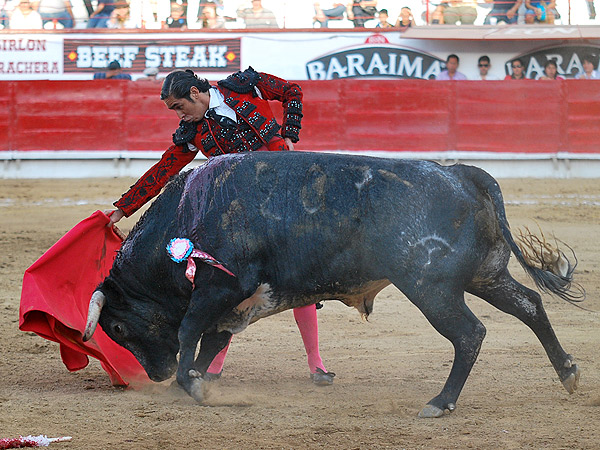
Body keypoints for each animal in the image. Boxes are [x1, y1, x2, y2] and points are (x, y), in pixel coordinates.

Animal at [82, 151, 580, 418]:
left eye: (119, 328)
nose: (156, 374)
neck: (190, 212)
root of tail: (460, 172)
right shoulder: (235, 303)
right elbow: (211, 341)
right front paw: (194, 382)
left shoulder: (220, 287)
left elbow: (190, 331)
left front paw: (193, 386)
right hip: (485, 275)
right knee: (530, 305)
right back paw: (569, 373)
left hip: (431, 286)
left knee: (470, 333)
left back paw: (440, 402)